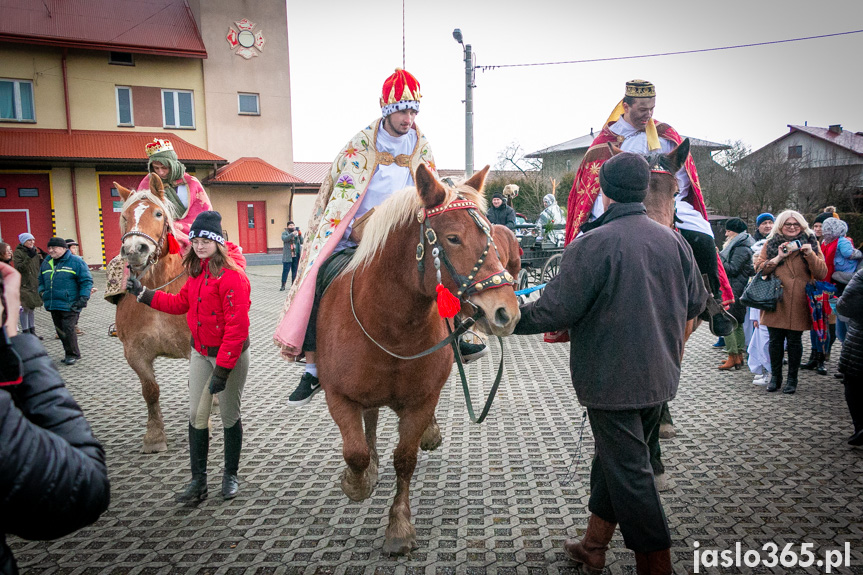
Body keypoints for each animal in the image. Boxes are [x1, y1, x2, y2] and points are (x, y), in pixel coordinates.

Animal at [114, 173, 190, 452]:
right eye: (125, 216)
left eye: (158, 214)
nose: (135, 249)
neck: (160, 288)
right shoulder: (135, 351)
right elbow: (150, 390)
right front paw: (155, 436)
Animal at [318, 164, 520, 556]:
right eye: (453, 238)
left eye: (490, 234)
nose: (506, 312)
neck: (391, 326)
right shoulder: (338, 395)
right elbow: (355, 452)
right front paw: (356, 483)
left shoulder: (421, 399)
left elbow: (405, 459)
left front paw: (399, 527)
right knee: (369, 422)